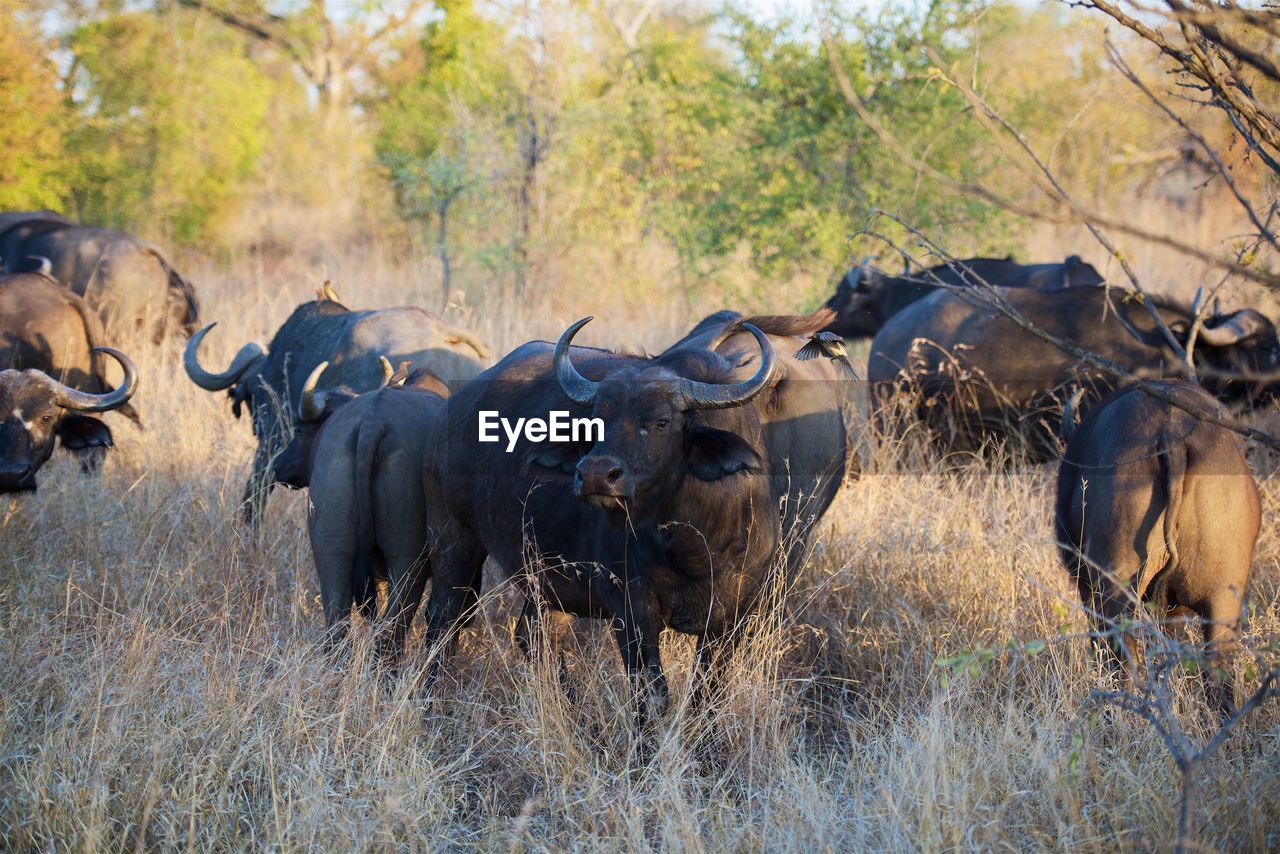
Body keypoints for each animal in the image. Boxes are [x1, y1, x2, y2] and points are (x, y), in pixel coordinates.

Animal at [419, 318, 778, 717]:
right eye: (596, 421)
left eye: (662, 421)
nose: (594, 475)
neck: (693, 542)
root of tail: (451, 411)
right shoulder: (631, 608)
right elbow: (652, 693)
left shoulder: (734, 615)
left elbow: (708, 694)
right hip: (453, 538)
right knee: (443, 622)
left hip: (547, 579)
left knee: (535, 636)